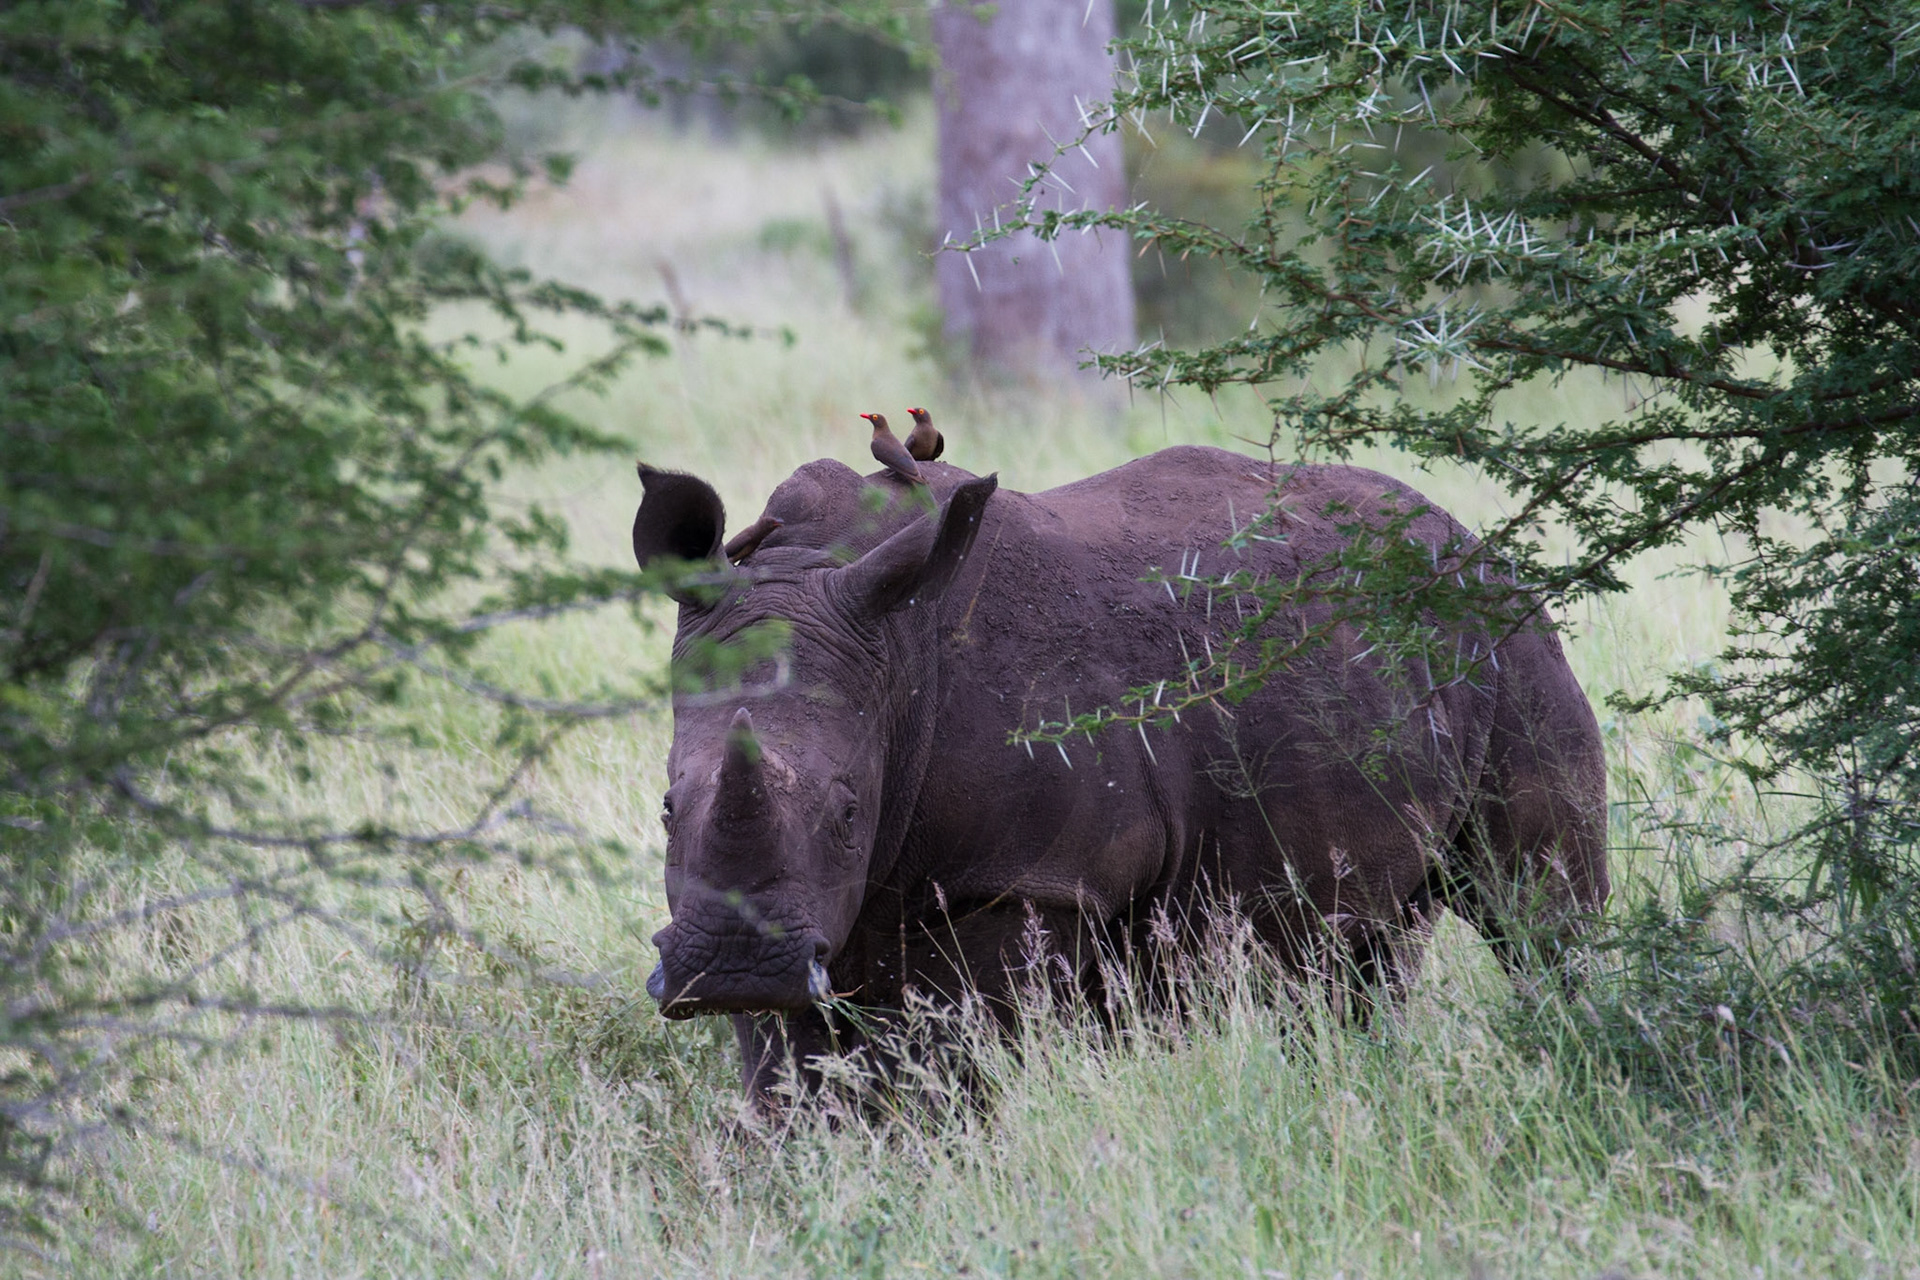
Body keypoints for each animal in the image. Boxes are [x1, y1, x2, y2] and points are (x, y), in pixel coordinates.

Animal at [632, 445, 1607, 1101]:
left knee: (1536, 913)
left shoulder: (1028, 878)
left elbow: (962, 1068)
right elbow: (788, 1079)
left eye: (846, 811)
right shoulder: (805, 914)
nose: (733, 966)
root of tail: (1461, 529)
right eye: (668, 807)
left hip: (1511, 634)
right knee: (1363, 950)